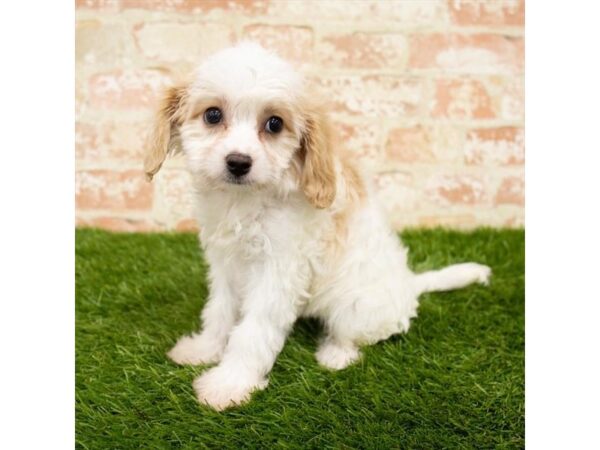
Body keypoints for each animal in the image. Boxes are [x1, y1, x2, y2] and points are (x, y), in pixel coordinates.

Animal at [144, 43, 492, 412]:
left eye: (274, 123)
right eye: (212, 115)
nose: (238, 162)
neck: (244, 199)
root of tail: (409, 284)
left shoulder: (279, 271)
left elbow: (253, 331)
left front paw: (230, 383)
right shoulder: (226, 265)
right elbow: (219, 312)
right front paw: (205, 349)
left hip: (357, 305)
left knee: (357, 334)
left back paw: (336, 354)